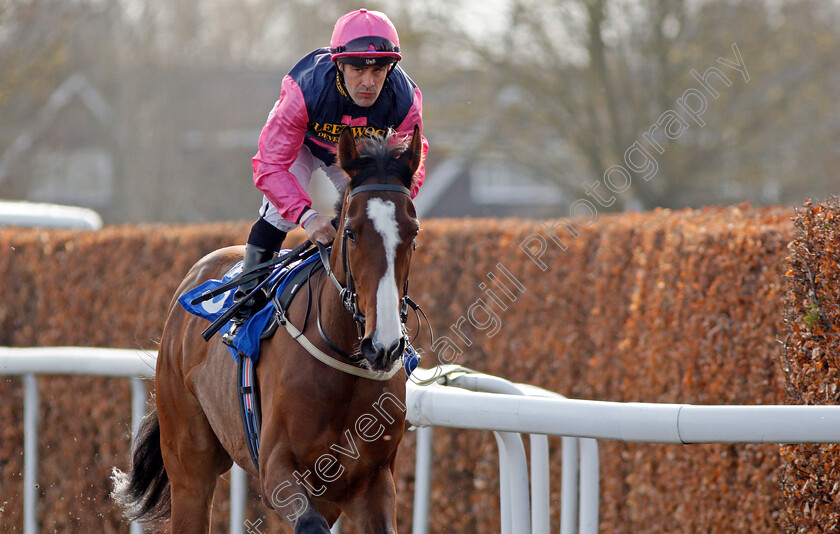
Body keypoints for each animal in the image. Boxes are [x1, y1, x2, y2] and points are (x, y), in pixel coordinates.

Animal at [111, 126, 424, 534]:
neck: (343, 363)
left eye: (413, 233)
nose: (383, 345)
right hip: (188, 459)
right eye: (351, 232)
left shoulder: (370, 480)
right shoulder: (278, 469)